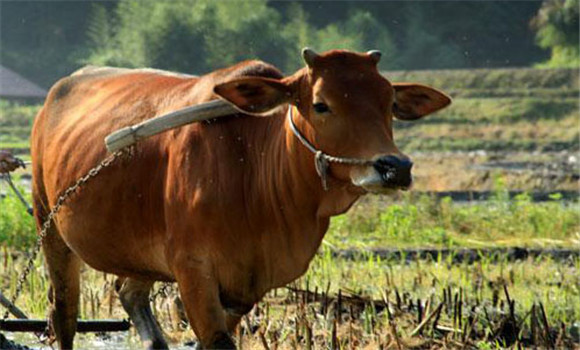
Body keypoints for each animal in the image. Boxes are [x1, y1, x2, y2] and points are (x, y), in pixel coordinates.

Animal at [29, 48, 450, 348]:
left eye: (389, 103)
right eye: (321, 103)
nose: (395, 167)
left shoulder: (244, 288)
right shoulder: (193, 270)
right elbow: (216, 342)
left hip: (140, 253)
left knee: (129, 294)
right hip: (51, 228)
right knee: (64, 314)